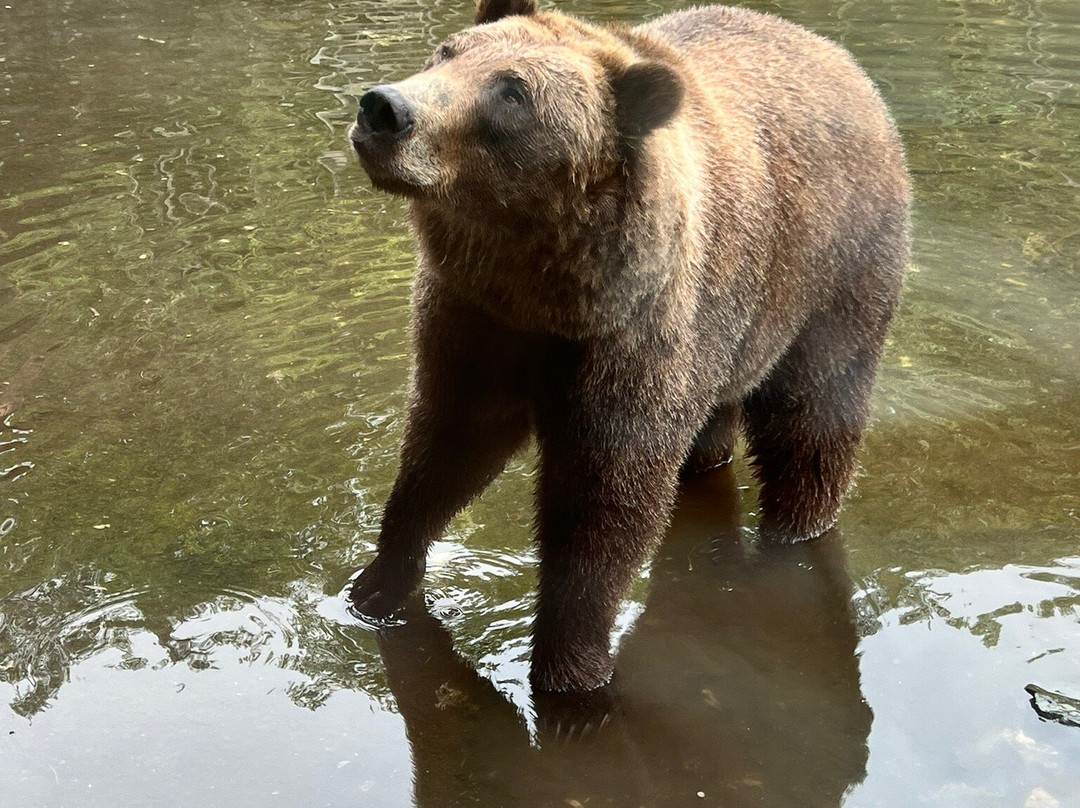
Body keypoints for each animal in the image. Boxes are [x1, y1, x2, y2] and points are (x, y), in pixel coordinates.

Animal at [347, 0, 911, 695]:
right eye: (448, 52)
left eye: (513, 93)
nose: (384, 108)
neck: (551, 292)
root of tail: (838, 58)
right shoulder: (477, 316)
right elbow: (446, 445)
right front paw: (374, 587)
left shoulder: (633, 336)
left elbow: (606, 501)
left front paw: (571, 672)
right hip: (732, 320)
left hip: (833, 273)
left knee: (812, 420)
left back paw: (798, 525)